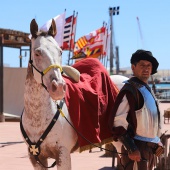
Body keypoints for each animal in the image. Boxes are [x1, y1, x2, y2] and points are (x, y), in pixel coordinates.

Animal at [20, 17, 127, 169]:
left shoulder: (63, 154)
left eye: (60, 51)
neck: (37, 118)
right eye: (37, 53)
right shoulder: (36, 157)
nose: (58, 86)